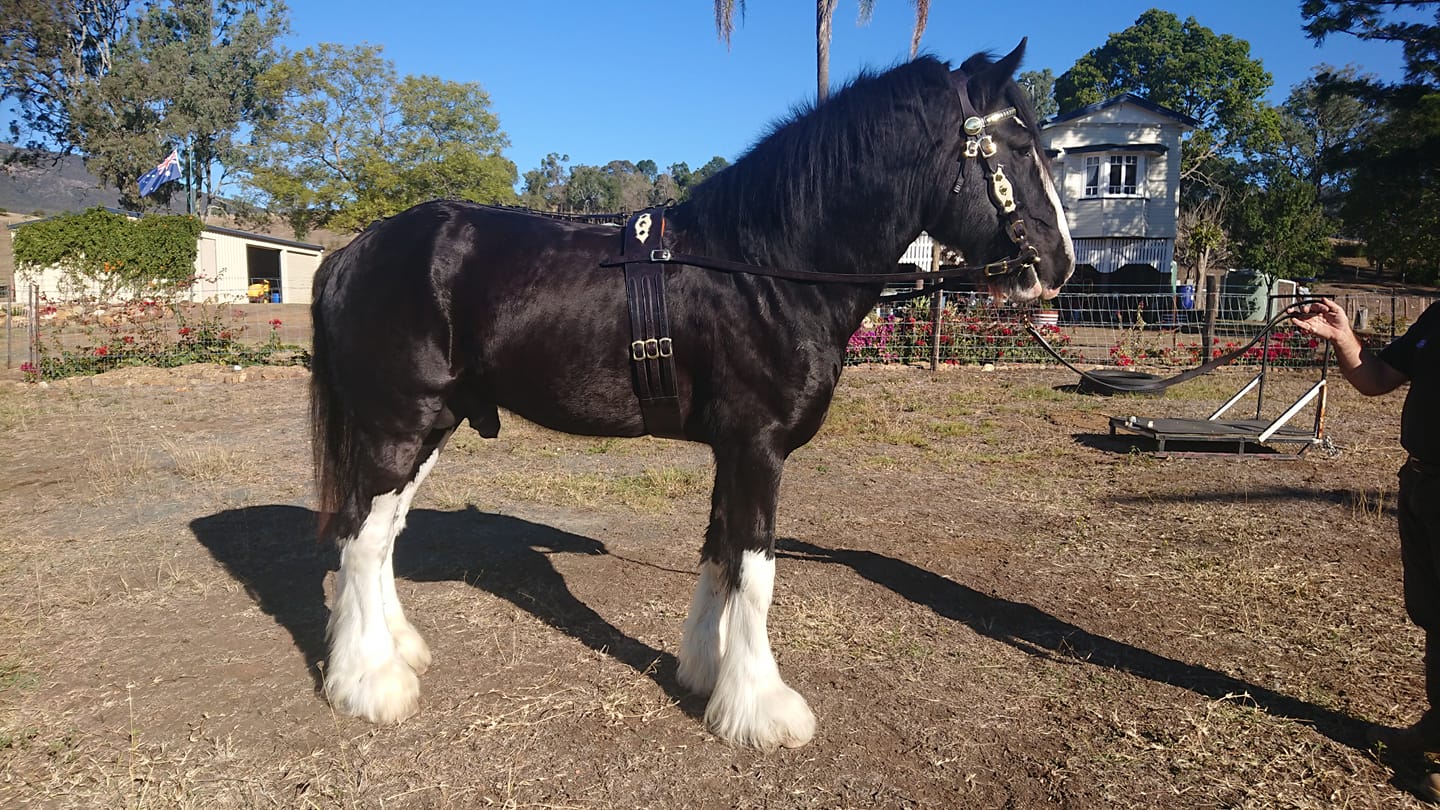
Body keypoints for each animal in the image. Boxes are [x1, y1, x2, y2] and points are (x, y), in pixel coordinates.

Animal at [318, 42, 1082, 749]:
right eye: (1019, 147)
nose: (1059, 265)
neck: (764, 266)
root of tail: (358, 249)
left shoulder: (732, 449)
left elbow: (720, 555)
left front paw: (708, 674)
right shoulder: (757, 448)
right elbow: (756, 568)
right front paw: (763, 709)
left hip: (432, 425)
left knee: (385, 532)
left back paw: (396, 648)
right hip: (398, 423)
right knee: (361, 535)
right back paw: (370, 682)